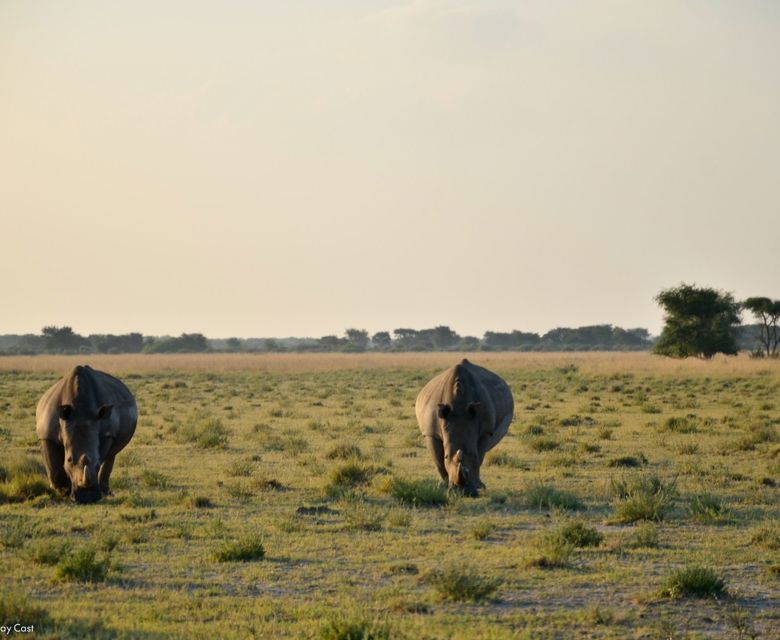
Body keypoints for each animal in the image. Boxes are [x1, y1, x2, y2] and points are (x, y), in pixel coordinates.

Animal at [36, 365, 137, 503]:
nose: (87, 498)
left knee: (112, 454)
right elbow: (54, 467)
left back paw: (106, 492)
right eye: (69, 460)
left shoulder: (107, 434)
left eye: (97, 461)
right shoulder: (47, 435)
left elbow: (102, 457)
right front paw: (63, 491)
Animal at [415, 359, 514, 496]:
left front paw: (478, 486)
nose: (463, 492)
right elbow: (438, 461)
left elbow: (479, 457)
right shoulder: (430, 432)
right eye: (446, 456)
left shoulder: (486, 431)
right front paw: (443, 486)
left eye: (473, 456)